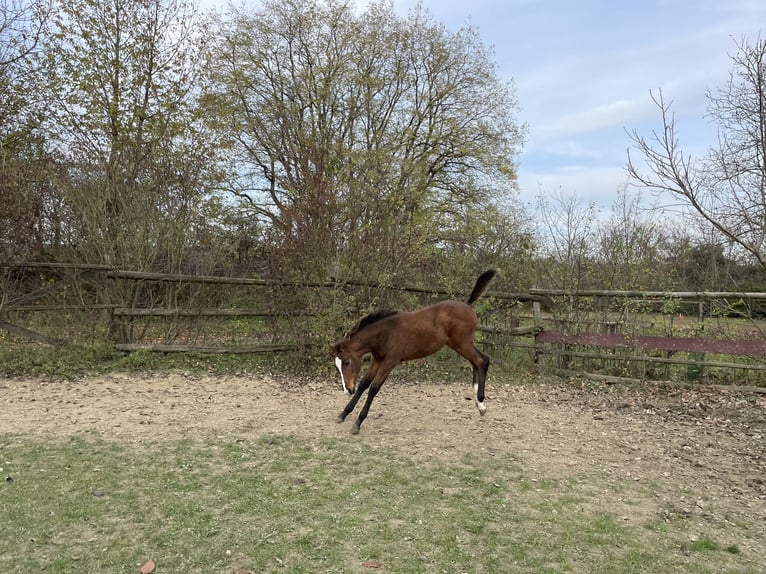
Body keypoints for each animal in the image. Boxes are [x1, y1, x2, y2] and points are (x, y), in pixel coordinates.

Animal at [336, 272, 498, 434]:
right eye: (338, 366)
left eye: (347, 362)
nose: (348, 390)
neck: (385, 333)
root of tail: (468, 305)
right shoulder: (377, 360)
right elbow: (364, 384)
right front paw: (343, 414)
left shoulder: (390, 362)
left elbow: (374, 388)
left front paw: (357, 423)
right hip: (458, 345)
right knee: (476, 362)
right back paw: (479, 404)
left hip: (462, 343)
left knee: (482, 360)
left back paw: (481, 403)